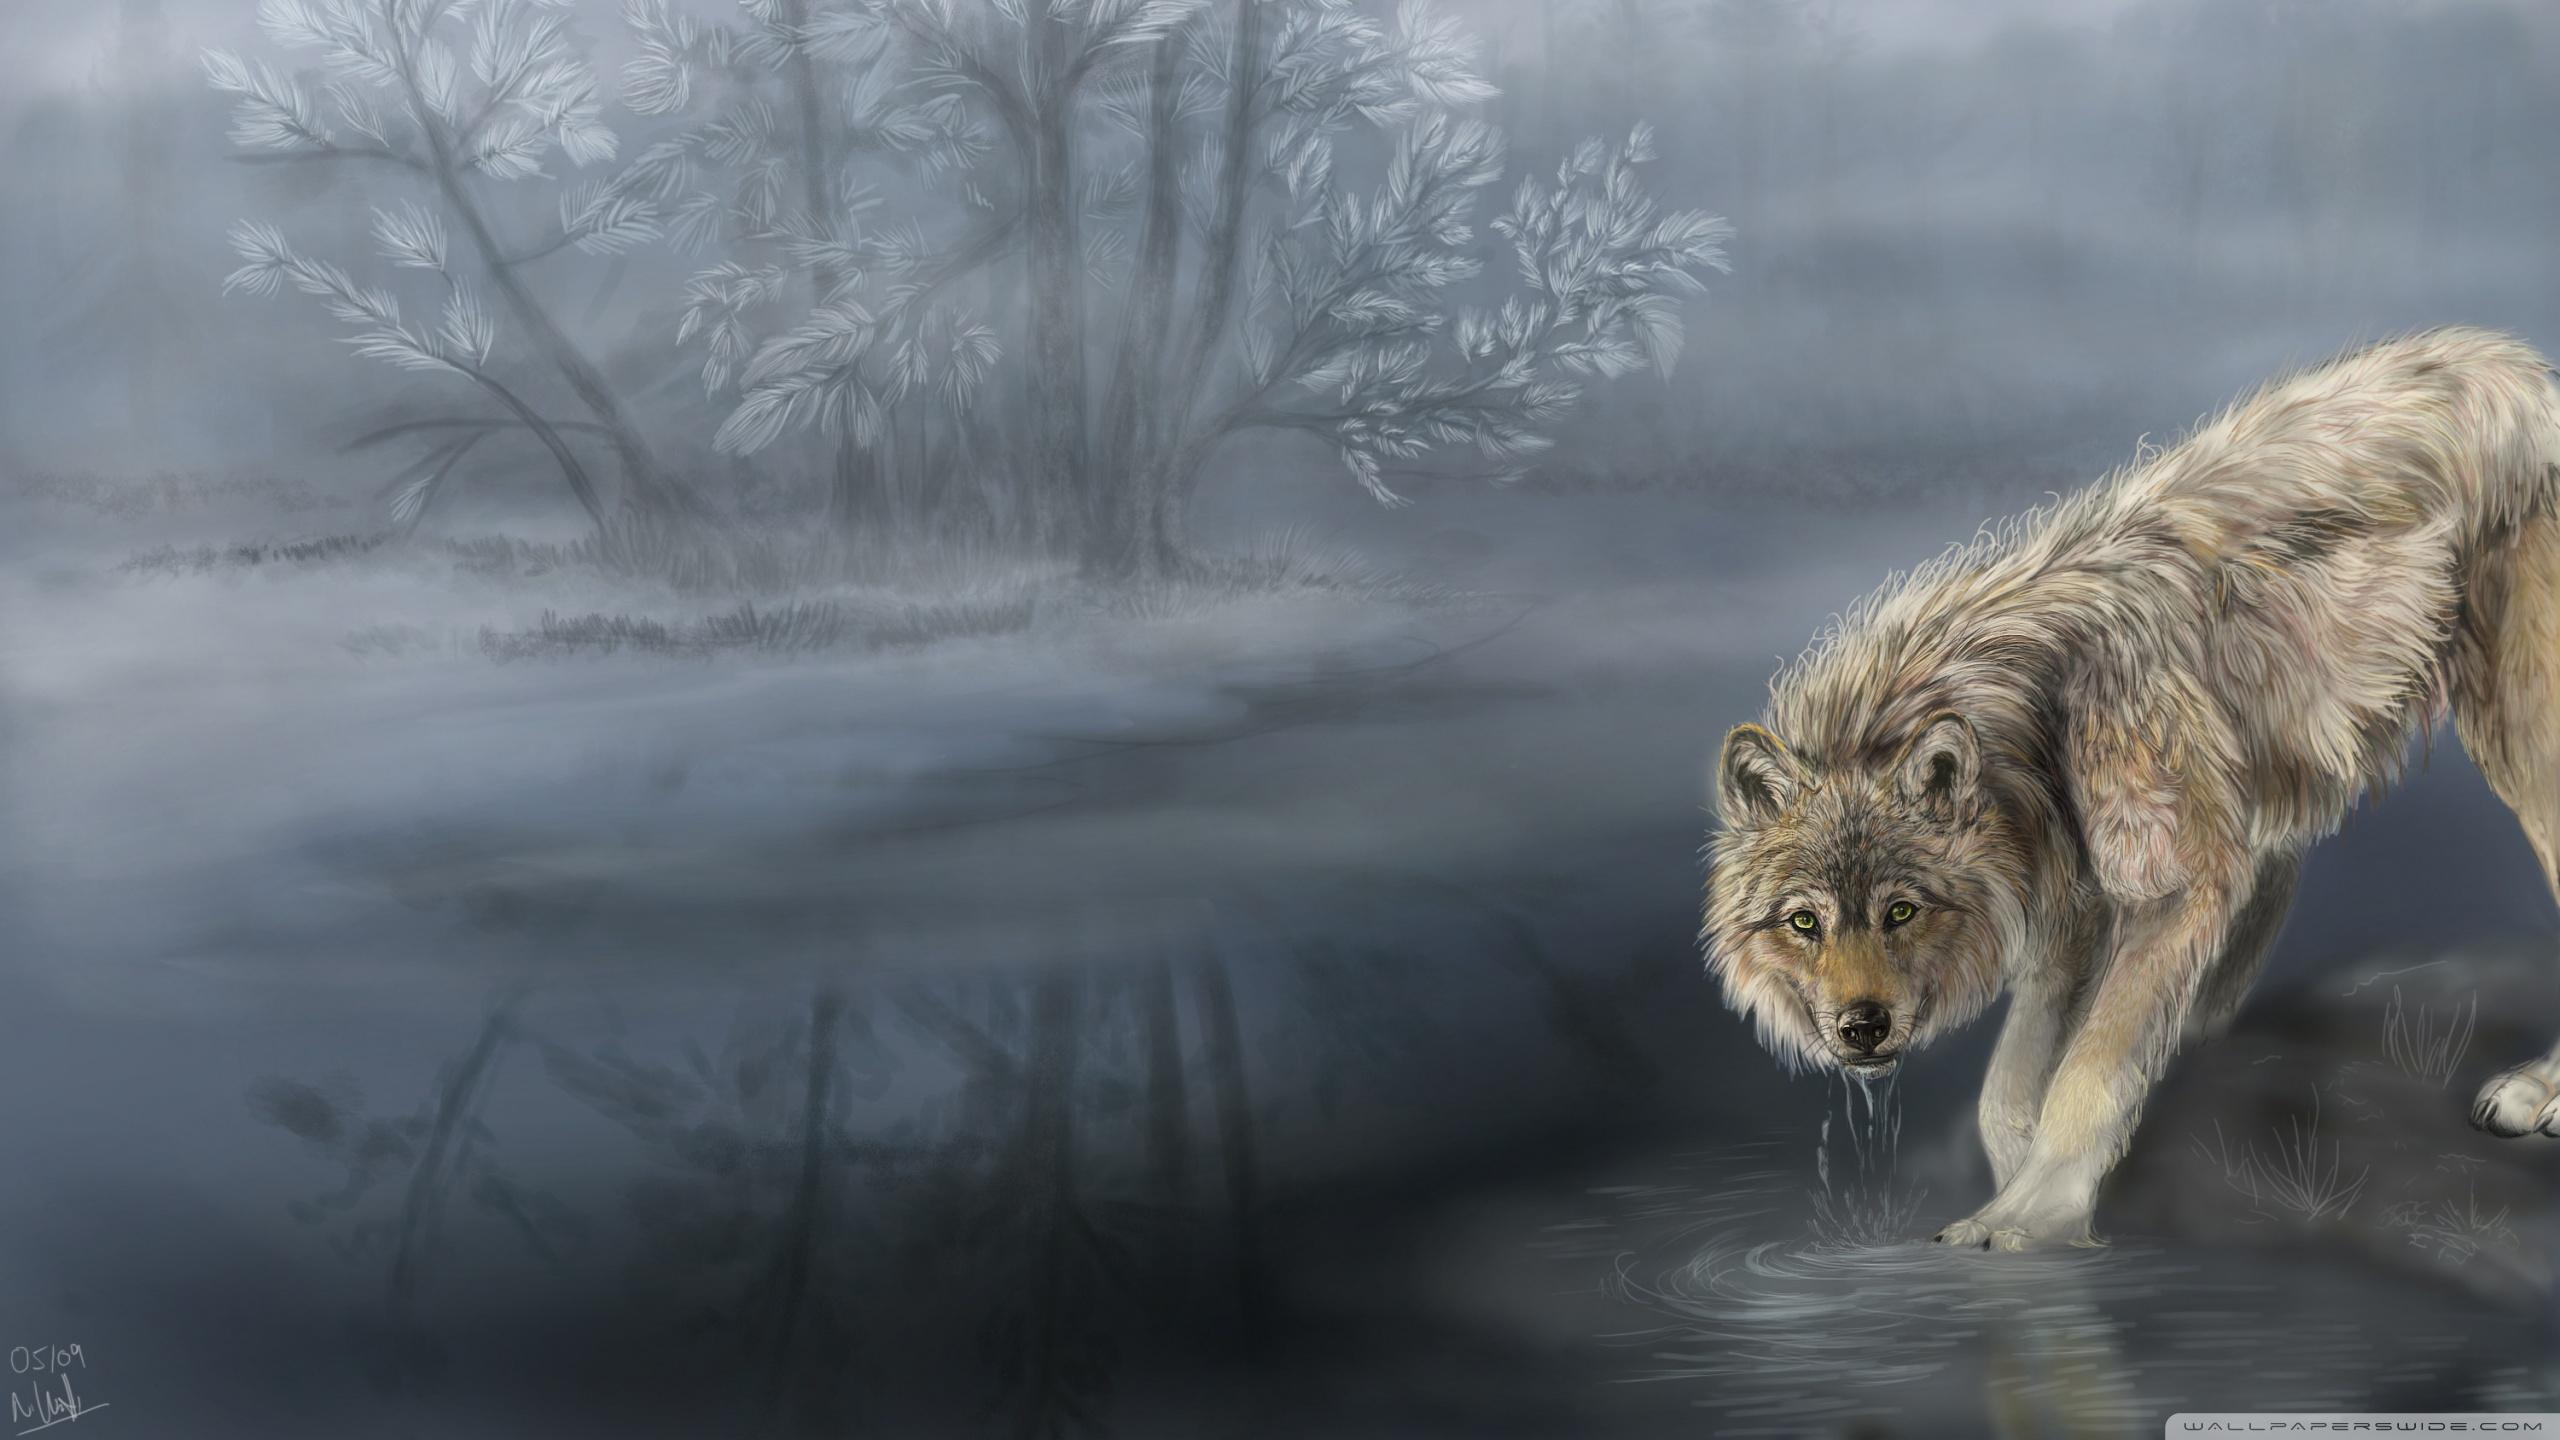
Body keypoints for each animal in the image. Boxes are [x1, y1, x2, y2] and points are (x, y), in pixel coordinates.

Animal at [1703, 327, 2560, 1252]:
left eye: (1901, 910)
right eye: (1804, 922)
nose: (1862, 1027)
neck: (2030, 723)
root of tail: (2523, 370)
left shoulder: (2173, 886)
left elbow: (2091, 1068)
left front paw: (2031, 1217)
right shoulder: (2071, 900)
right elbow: (2008, 1087)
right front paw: (2012, 1179)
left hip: (2526, 753)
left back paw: (2537, 1092)